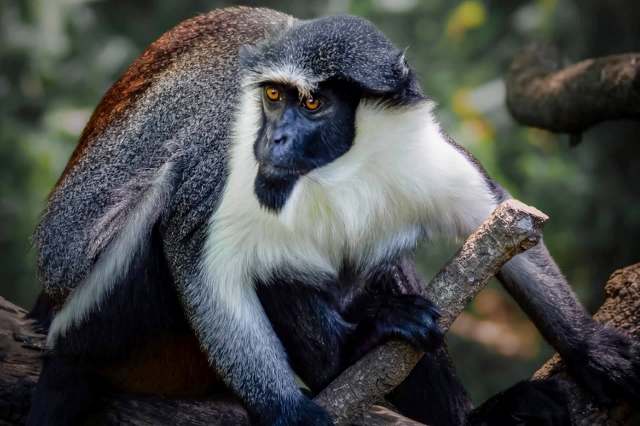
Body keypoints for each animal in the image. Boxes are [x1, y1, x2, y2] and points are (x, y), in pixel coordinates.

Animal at [27, 6, 640, 426]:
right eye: (274, 97)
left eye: (313, 103)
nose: (275, 138)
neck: (341, 166)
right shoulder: (219, 165)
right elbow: (199, 261)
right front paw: (291, 412)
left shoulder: (422, 152)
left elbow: (497, 217)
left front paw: (591, 348)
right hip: (103, 319)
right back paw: (350, 352)